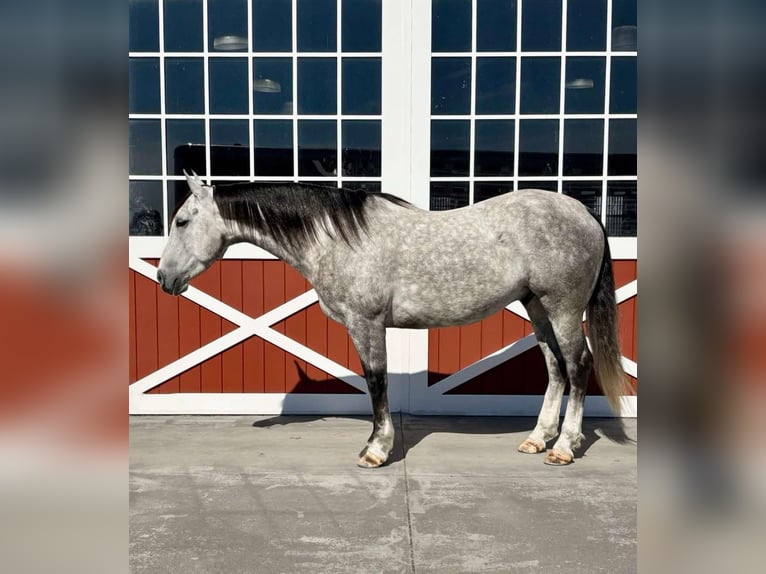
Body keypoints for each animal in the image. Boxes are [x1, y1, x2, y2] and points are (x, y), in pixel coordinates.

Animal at [157, 172, 628, 468]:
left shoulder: (366, 324)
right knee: (555, 369)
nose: (164, 278)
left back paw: (563, 447)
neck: (336, 237)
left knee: (578, 366)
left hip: (562, 308)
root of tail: (584, 212)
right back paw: (536, 439)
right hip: (537, 307)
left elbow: (376, 382)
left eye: (181, 221)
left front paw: (376, 450)